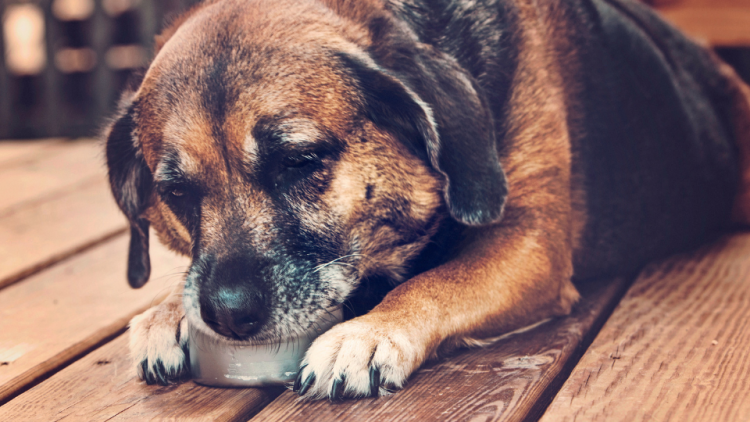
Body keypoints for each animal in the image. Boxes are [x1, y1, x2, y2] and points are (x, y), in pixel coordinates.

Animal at [103, 0, 750, 398]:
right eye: (176, 192)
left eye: (300, 161)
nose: (229, 315)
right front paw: (169, 312)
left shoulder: (529, 244)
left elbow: (435, 283)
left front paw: (368, 333)